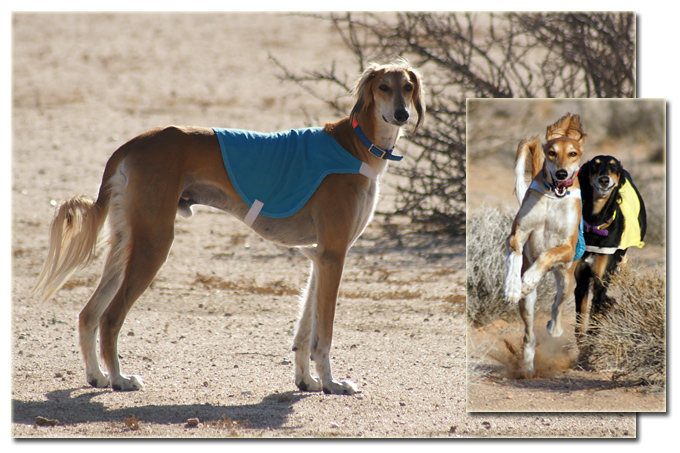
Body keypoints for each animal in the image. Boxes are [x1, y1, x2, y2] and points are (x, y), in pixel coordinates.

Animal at [33, 60, 424, 392]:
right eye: (384, 87)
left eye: (407, 86)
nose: (402, 114)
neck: (357, 143)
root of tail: (131, 144)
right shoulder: (334, 254)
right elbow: (323, 334)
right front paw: (331, 383)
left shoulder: (320, 255)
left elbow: (305, 329)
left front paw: (306, 380)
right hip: (154, 243)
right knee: (111, 317)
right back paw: (118, 379)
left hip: (127, 240)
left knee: (88, 313)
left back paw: (97, 375)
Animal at [502, 113, 588, 374]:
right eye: (552, 152)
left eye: (573, 153)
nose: (561, 174)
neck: (553, 197)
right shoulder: (517, 234)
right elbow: (516, 257)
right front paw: (513, 286)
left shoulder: (568, 248)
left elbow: (547, 254)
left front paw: (530, 278)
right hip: (528, 305)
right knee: (529, 335)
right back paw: (527, 367)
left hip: (567, 280)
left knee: (557, 306)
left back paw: (554, 327)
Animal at [576, 154, 644, 342]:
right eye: (595, 165)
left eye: (613, 166)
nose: (604, 180)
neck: (596, 224)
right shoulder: (582, 280)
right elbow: (579, 327)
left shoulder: (601, 280)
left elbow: (594, 322)